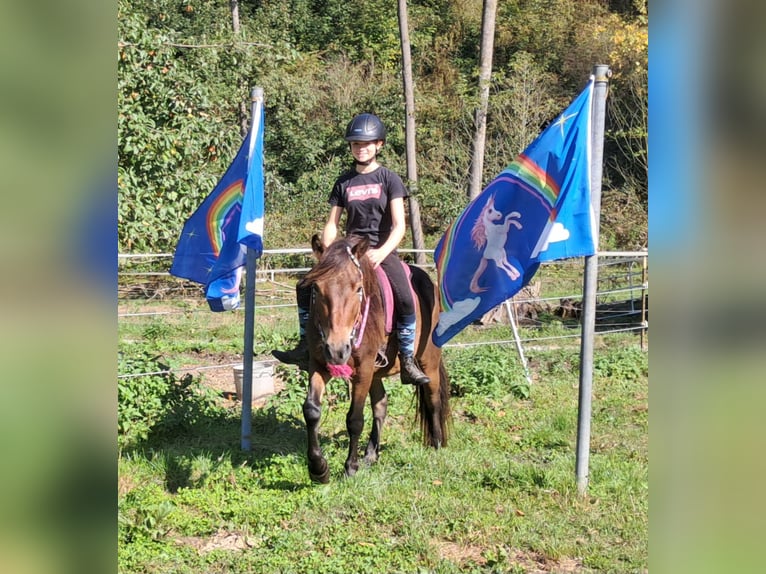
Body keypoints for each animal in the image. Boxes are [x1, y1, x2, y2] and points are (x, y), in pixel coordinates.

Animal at [304, 233, 452, 482]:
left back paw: (437, 443)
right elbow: (312, 411)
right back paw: (371, 455)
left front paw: (350, 467)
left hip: (428, 361)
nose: (337, 349)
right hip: (376, 371)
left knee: (433, 399)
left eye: (358, 288)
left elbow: (354, 419)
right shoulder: (320, 364)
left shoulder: (362, 370)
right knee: (381, 405)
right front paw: (318, 468)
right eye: (316, 287)